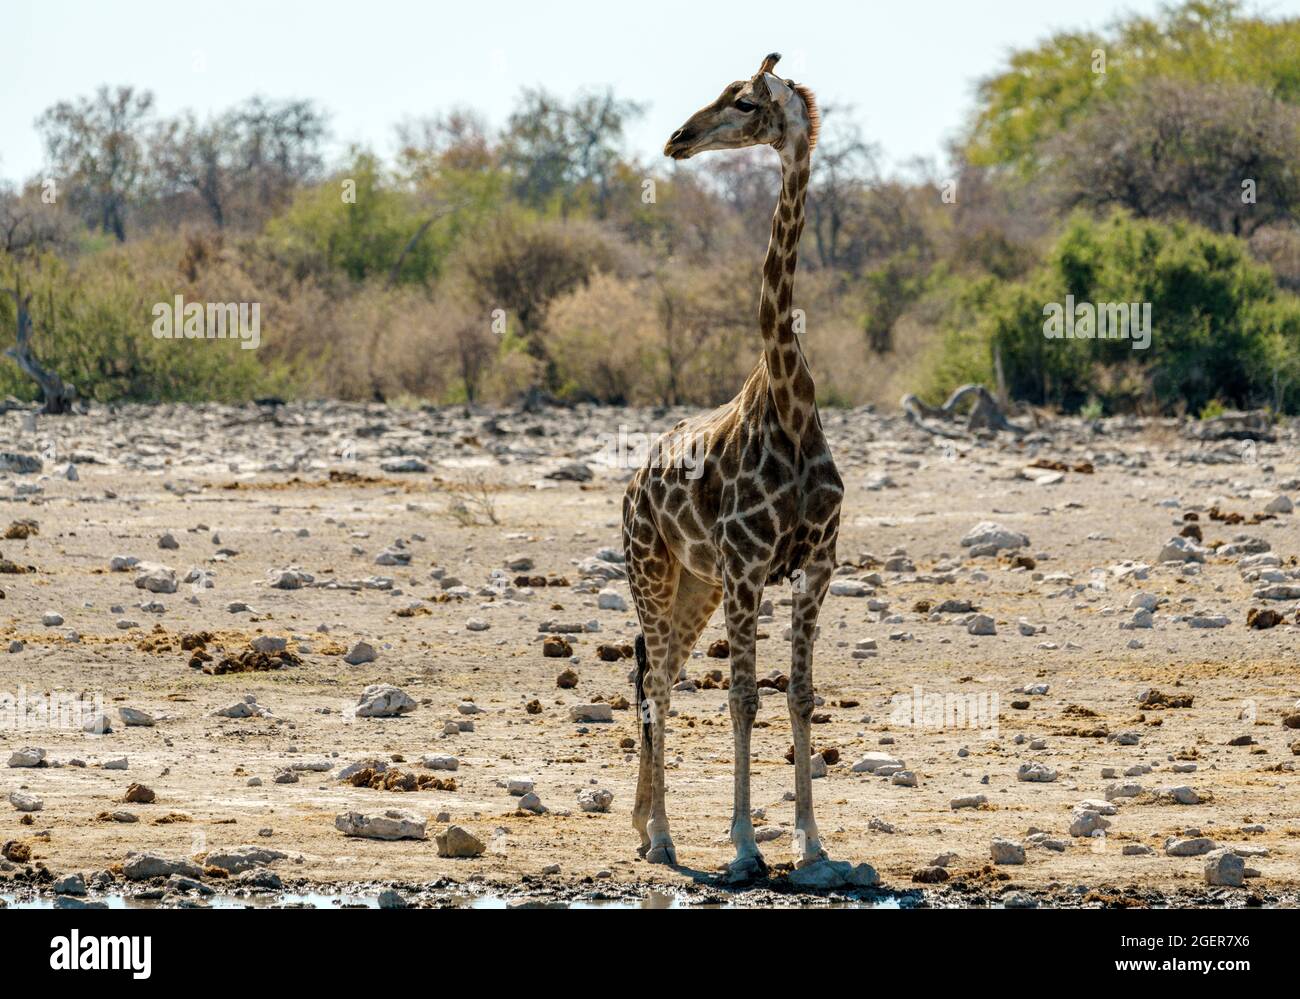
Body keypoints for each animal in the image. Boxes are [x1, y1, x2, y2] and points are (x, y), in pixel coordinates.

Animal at [618, 52, 842, 884]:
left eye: (744, 101)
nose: (677, 139)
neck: (793, 402)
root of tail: (634, 483)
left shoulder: (815, 565)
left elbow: (800, 694)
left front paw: (813, 844)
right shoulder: (749, 566)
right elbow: (744, 695)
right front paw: (746, 844)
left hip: (696, 584)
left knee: (657, 672)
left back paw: (644, 823)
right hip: (653, 569)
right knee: (654, 681)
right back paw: (661, 837)